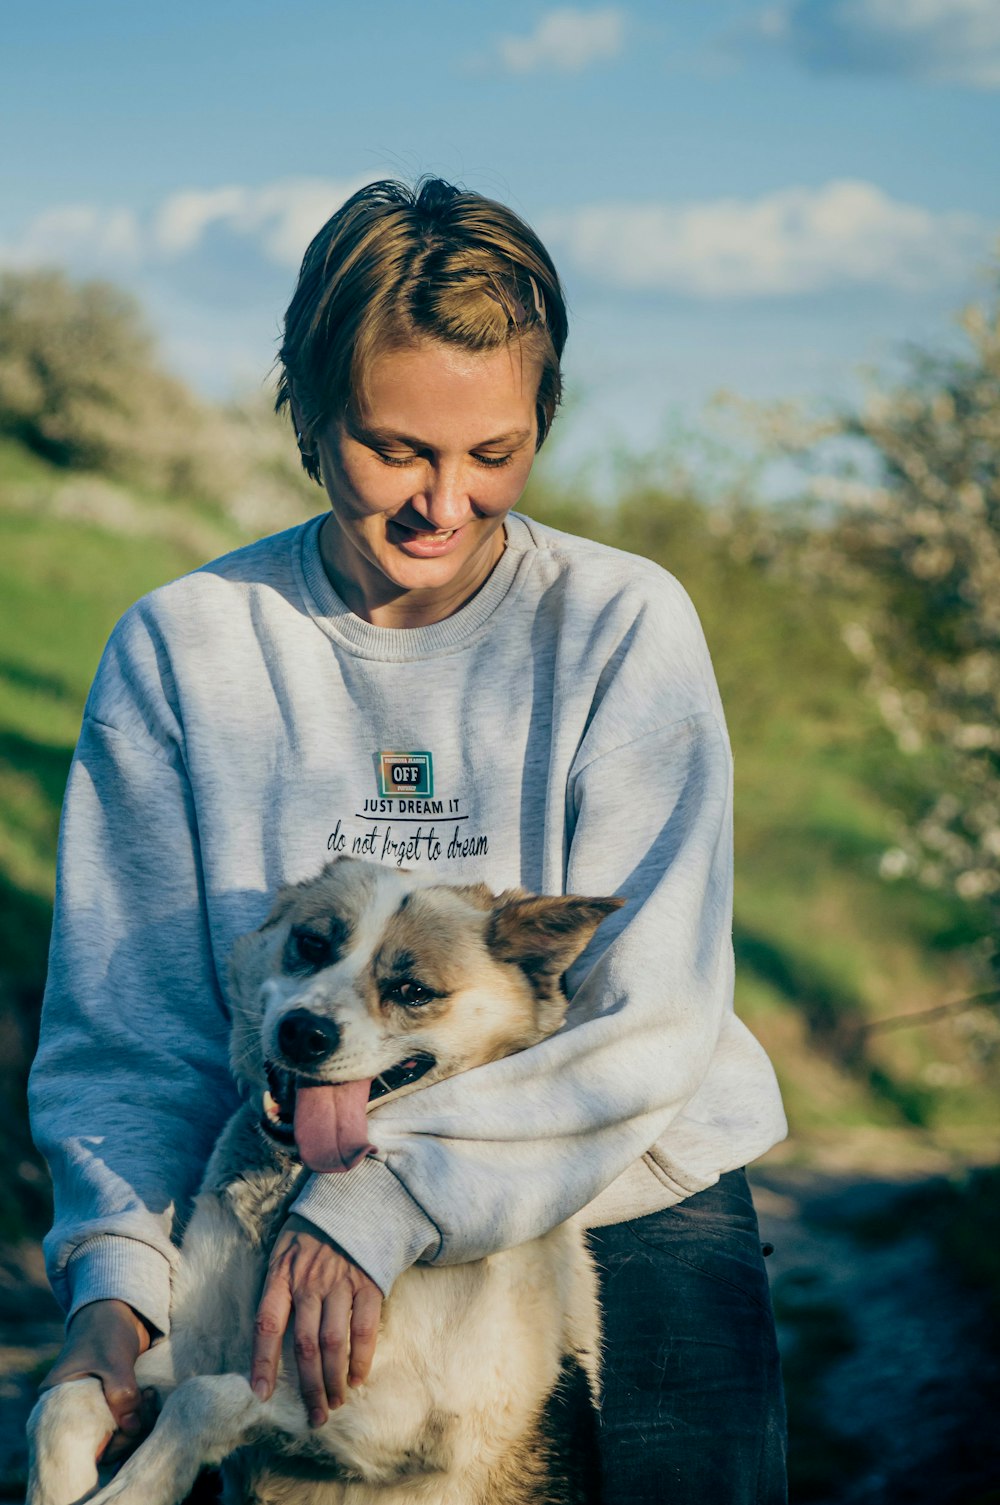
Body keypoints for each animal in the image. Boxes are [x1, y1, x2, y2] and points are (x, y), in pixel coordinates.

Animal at [27, 860, 620, 1505]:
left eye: (413, 991)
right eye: (311, 944)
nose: (303, 1033)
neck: (291, 1190)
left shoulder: (405, 1420)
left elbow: (202, 1399)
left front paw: (133, 1489)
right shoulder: (192, 1350)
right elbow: (68, 1398)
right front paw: (62, 1483)